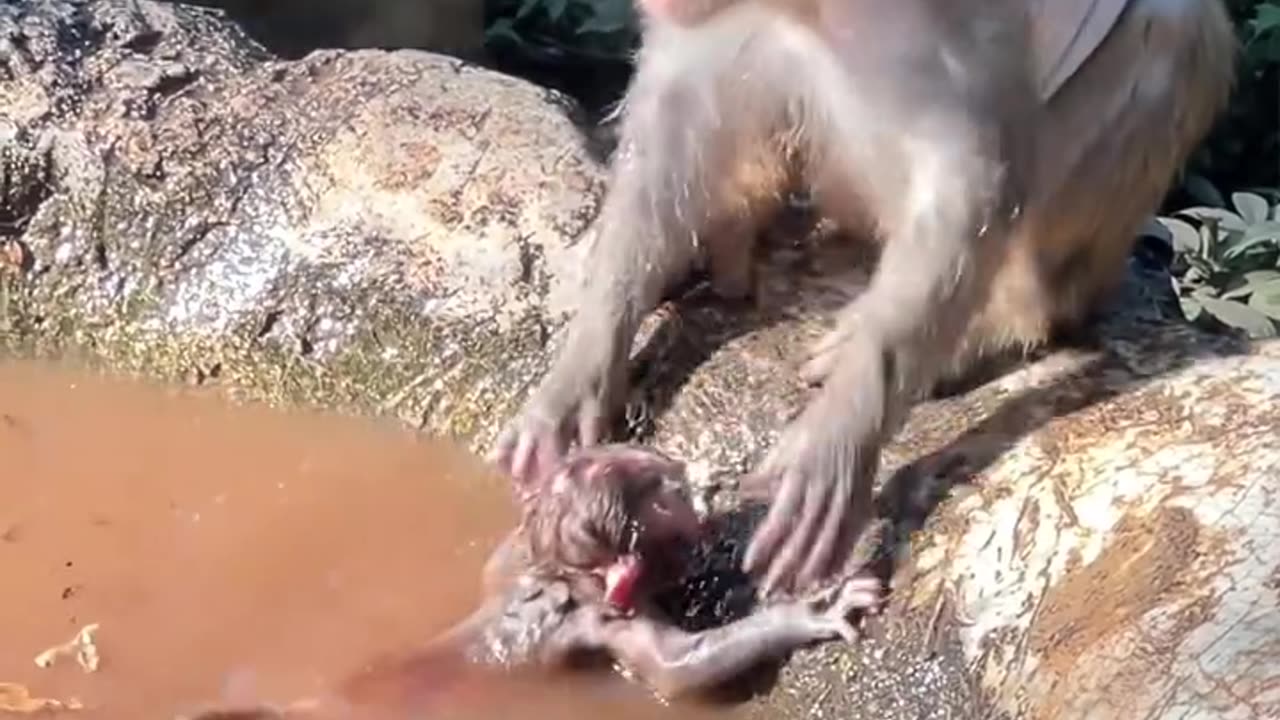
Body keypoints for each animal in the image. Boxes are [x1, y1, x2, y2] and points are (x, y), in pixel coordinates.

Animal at [182, 445, 881, 720]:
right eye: (670, 498)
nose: (696, 494)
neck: (558, 579)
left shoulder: (514, 558)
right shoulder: (608, 621)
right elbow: (677, 672)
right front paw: (817, 608)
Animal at [491, 0, 1237, 599]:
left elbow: (968, 165)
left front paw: (842, 430)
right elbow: (677, 91)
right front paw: (587, 363)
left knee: (1169, 29)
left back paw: (1003, 322)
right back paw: (734, 222)